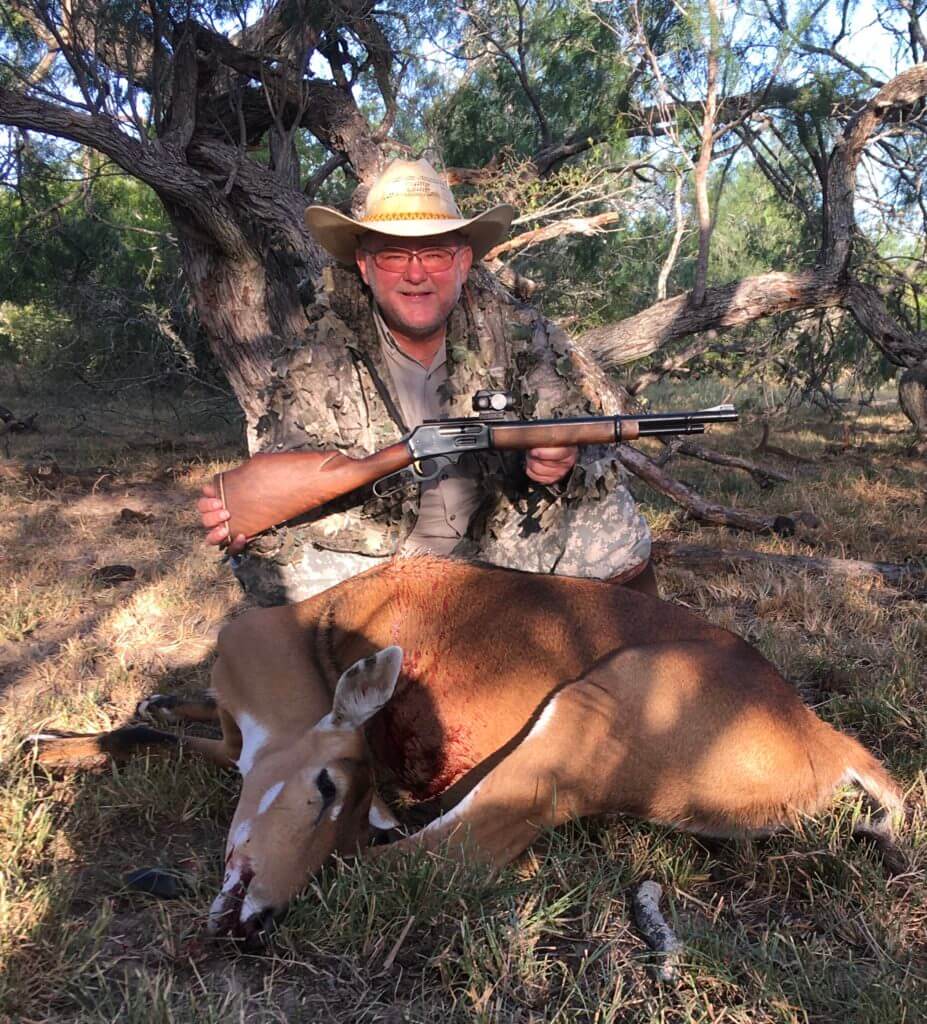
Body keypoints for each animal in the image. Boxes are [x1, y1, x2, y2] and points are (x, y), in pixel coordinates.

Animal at [27, 561, 897, 942]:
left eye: (330, 788)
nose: (257, 917)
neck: (306, 630)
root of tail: (827, 738)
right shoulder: (242, 744)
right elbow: (153, 727)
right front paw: (55, 742)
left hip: (586, 713)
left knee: (441, 858)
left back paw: (157, 880)